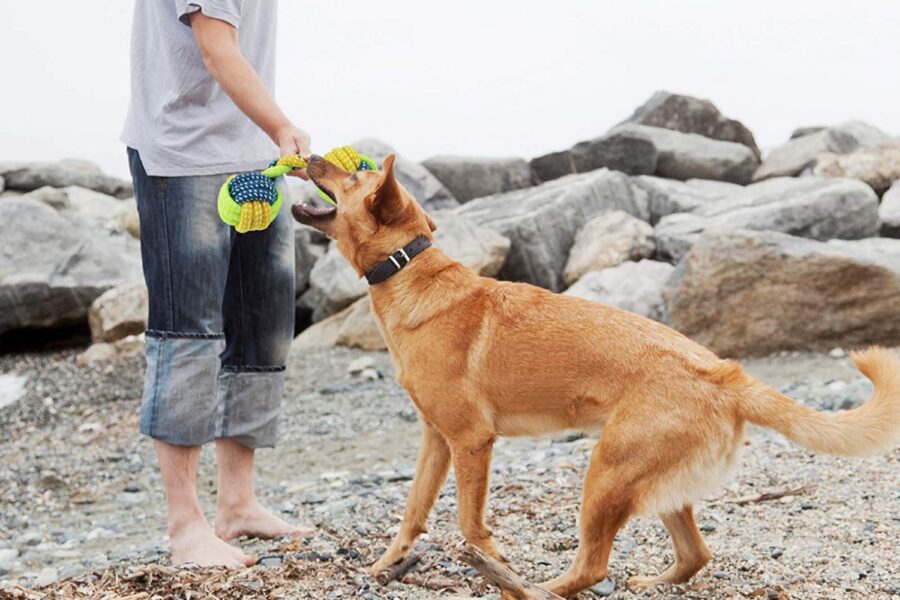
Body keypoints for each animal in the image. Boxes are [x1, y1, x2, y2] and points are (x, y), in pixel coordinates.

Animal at [294, 154, 900, 596]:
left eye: (352, 175)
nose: (310, 155)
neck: (410, 270)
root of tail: (723, 373)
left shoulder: (470, 441)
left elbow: (470, 524)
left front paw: (491, 561)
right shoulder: (434, 441)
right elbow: (412, 513)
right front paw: (383, 566)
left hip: (605, 475)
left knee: (590, 568)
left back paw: (526, 587)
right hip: (648, 481)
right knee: (693, 555)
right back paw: (647, 580)